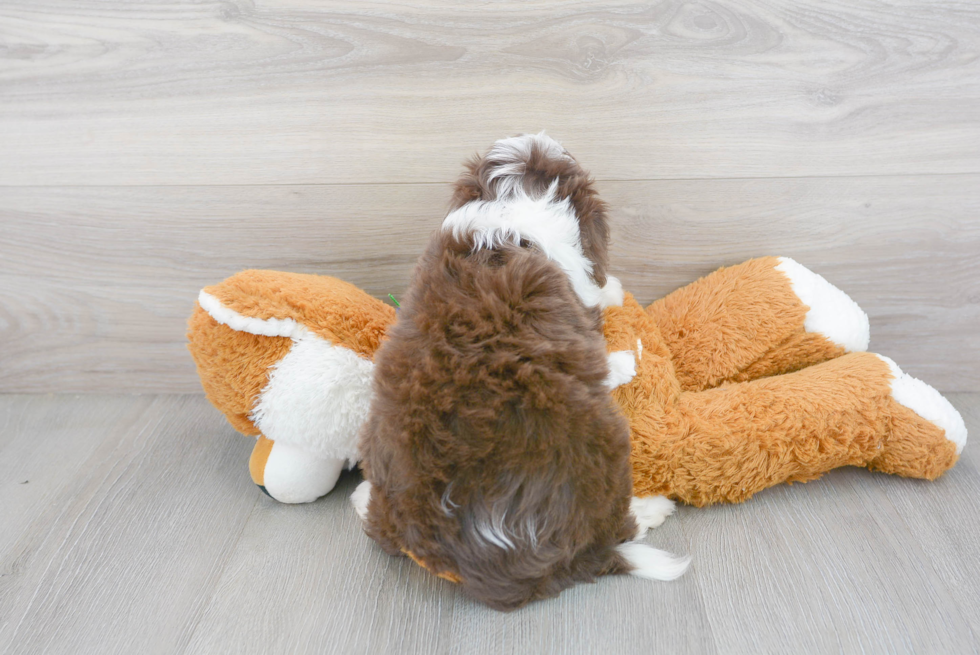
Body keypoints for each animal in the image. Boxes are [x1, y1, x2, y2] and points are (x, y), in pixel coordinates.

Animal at [352, 136, 688, 612]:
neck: (508, 219)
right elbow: (596, 306)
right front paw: (616, 311)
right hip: (602, 445)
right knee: (615, 527)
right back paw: (651, 509)